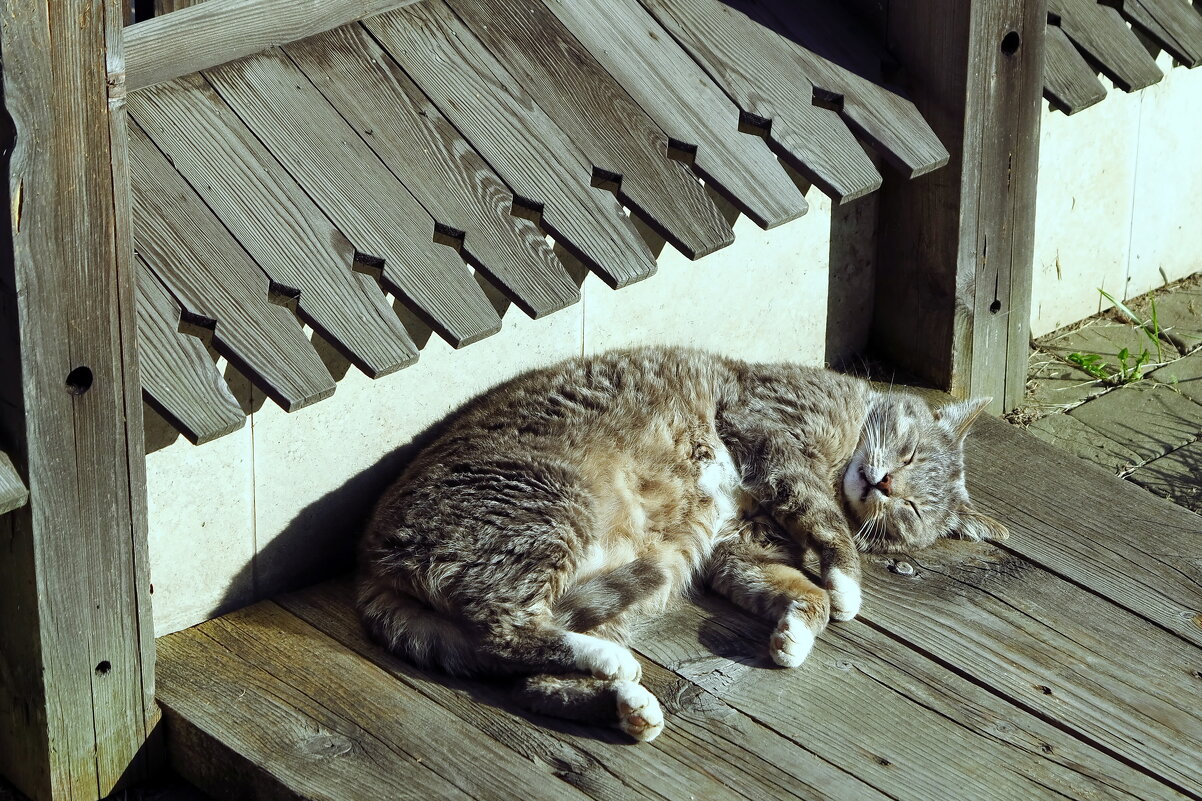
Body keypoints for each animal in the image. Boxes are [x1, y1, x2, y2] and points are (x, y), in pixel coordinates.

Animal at [355, 346, 1004, 740]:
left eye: (912, 509)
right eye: (910, 453)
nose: (885, 484)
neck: (840, 451)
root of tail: (371, 565)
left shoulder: (736, 547)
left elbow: (802, 591)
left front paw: (794, 636)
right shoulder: (773, 436)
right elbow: (828, 530)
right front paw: (847, 585)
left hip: (609, 590)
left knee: (526, 676)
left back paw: (627, 706)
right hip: (552, 515)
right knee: (503, 629)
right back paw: (615, 670)